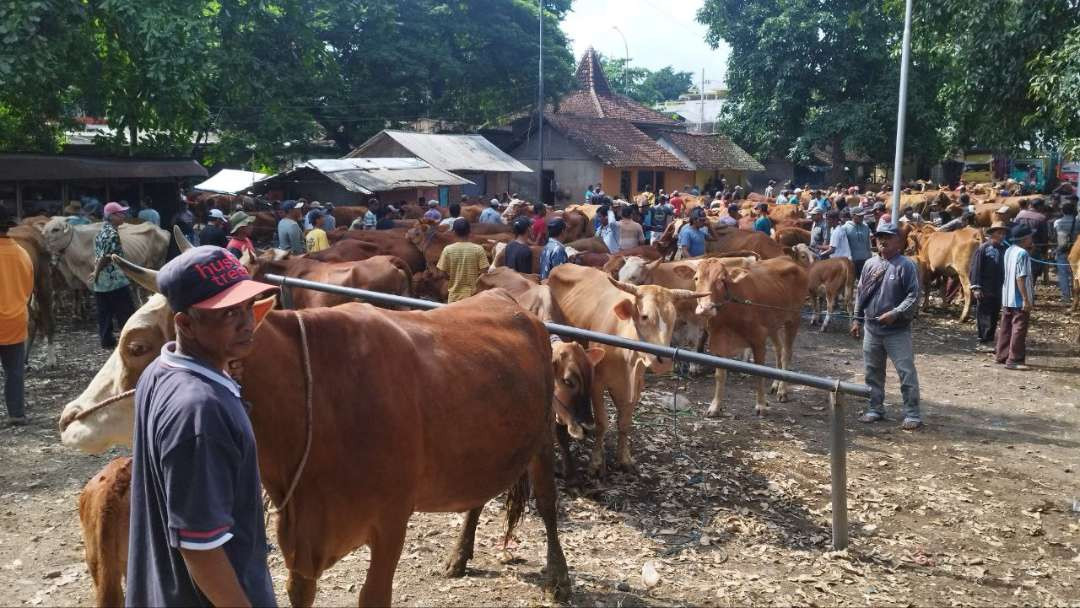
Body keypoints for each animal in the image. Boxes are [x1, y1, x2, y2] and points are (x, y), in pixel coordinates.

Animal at [686, 257, 807, 419]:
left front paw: (761, 406)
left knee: (787, 353)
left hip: (794, 318)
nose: (706, 308)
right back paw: (775, 385)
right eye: (696, 278)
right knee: (779, 349)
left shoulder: (758, 339)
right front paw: (715, 407)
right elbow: (720, 375)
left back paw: (782, 390)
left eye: (722, 280)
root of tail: (788, 259)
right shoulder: (719, 341)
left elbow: (759, 373)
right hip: (772, 324)